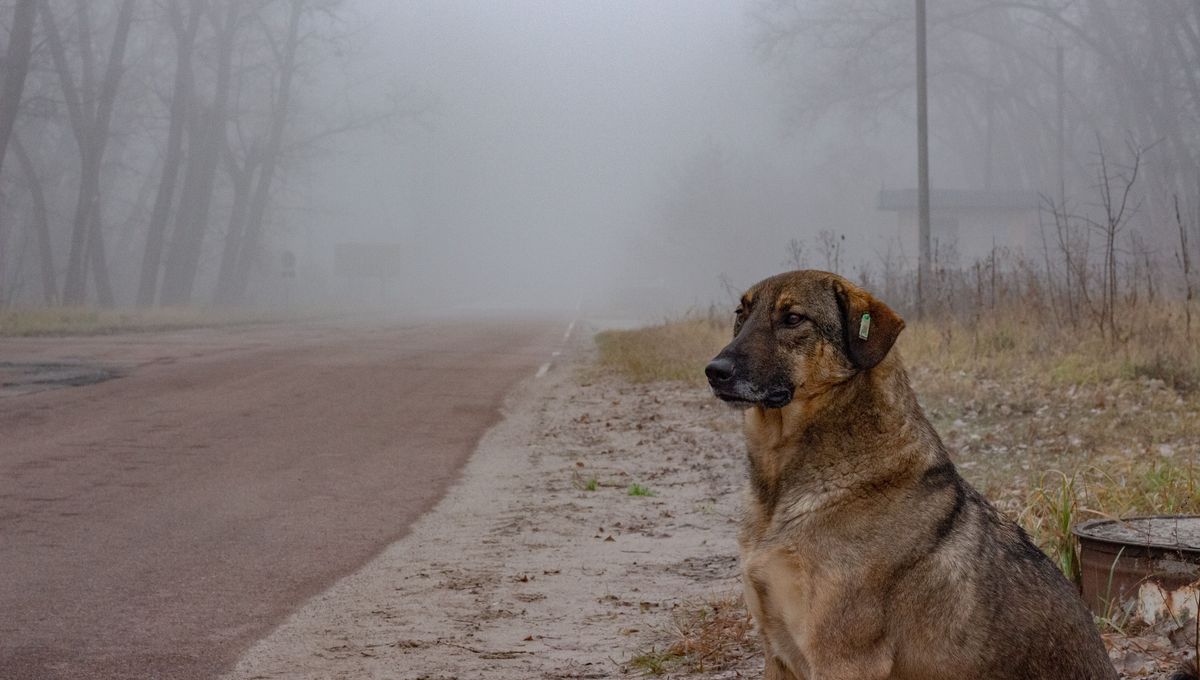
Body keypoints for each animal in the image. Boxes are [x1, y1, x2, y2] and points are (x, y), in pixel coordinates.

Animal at [700, 271, 1132, 680]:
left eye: (792, 318)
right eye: (740, 314)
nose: (714, 371)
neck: (779, 494)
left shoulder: (843, 658)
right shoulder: (777, 653)